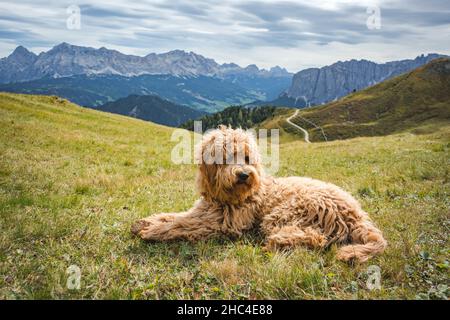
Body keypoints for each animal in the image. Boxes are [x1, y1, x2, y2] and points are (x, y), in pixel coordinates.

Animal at [131, 125, 386, 262]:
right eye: (227, 156)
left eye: (246, 157)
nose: (244, 175)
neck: (226, 198)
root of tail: (355, 214)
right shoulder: (204, 212)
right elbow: (175, 216)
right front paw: (145, 222)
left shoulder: (220, 224)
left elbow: (181, 225)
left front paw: (153, 231)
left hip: (284, 213)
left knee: (317, 238)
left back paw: (279, 241)